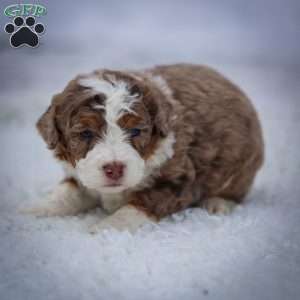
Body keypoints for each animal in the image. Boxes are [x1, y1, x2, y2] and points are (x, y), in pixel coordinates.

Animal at [29, 62, 264, 232]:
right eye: (86, 133)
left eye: (135, 131)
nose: (114, 168)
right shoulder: (82, 177)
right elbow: (64, 194)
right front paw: (32, 210)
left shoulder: (176, 181)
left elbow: (134, 208)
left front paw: (103, 230)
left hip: (242, 165)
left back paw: (217, 204)